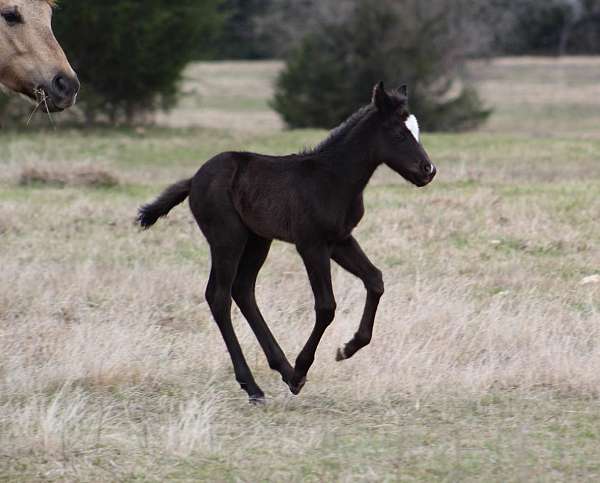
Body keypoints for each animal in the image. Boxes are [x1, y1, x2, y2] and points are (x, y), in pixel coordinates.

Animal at [138, 83, 436, 404]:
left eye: (416, 130)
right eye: (398, 133)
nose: (428, 170)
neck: (334, 179)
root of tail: (193, 180)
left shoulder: (340, 240)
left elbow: (375, 280)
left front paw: (347, 348)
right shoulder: (311, 245)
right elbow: (326, 306)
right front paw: (302, 369)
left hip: (257, 240)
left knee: (243, 290)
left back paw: (280, 368)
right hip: (227, 238)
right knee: (219, 296)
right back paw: (257, 385)